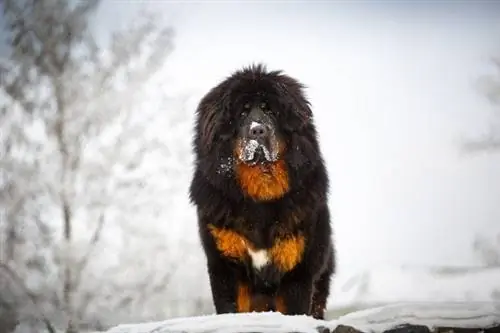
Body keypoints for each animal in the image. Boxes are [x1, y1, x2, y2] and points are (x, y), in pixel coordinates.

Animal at [188, 63, 336, 320]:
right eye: (242, 113)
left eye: (271, 112)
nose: (258, 130)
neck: (260, 197)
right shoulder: (226, 267)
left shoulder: (297, 271)